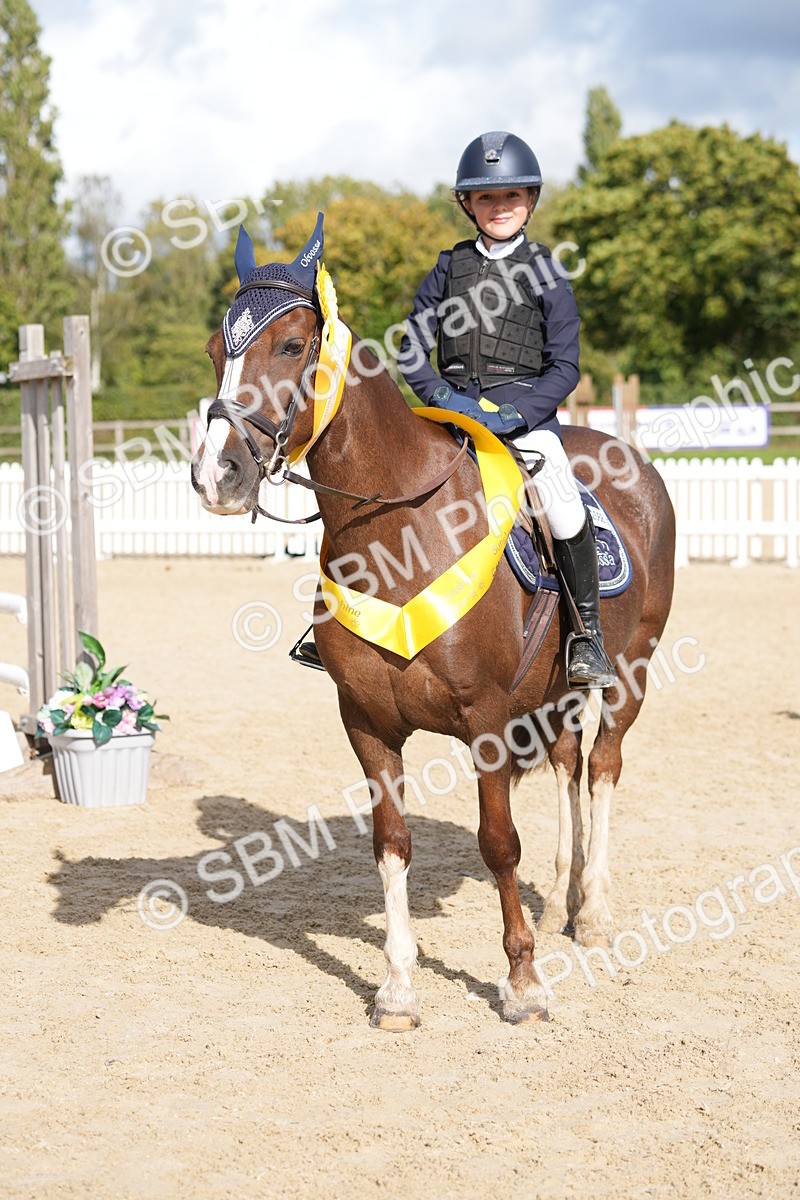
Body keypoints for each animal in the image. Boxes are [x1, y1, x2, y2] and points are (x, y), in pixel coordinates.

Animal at [191, 224, 675, 1029]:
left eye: (290, 346)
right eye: (212, 350)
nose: (217, 476)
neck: (399, 530)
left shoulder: (485, 721)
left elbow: (498, 844)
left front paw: (522, 984)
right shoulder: (366, 722)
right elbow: (391, 843)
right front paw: (397, 990)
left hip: (628, 671)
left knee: (603, 767)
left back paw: (595, 913)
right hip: (555, 695)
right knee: (569, 766)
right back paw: (563, 903)